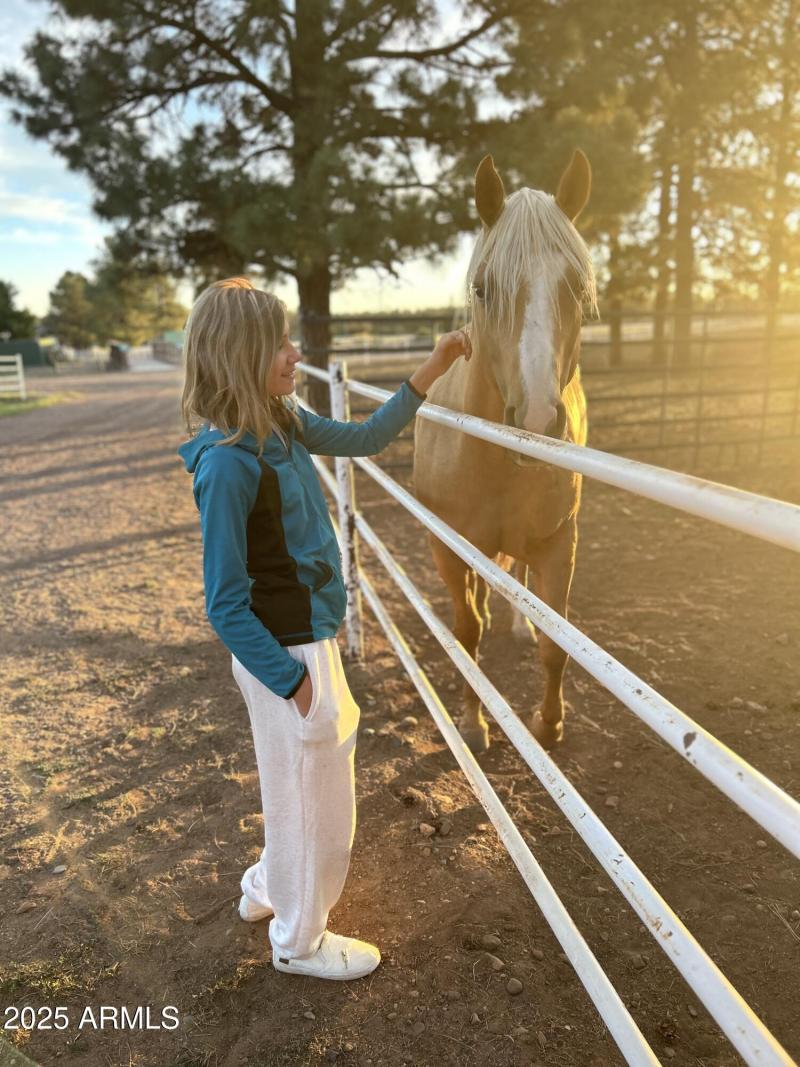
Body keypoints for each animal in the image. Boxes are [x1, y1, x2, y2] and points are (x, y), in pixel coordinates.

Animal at [412, 150, 598, 753]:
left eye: (577, 287)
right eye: (482, 288)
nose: (538, 420)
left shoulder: (560, 544)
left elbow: (555, 643)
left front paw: (549, 723)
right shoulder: (447, 545)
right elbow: (466, 631)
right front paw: (474, 724)